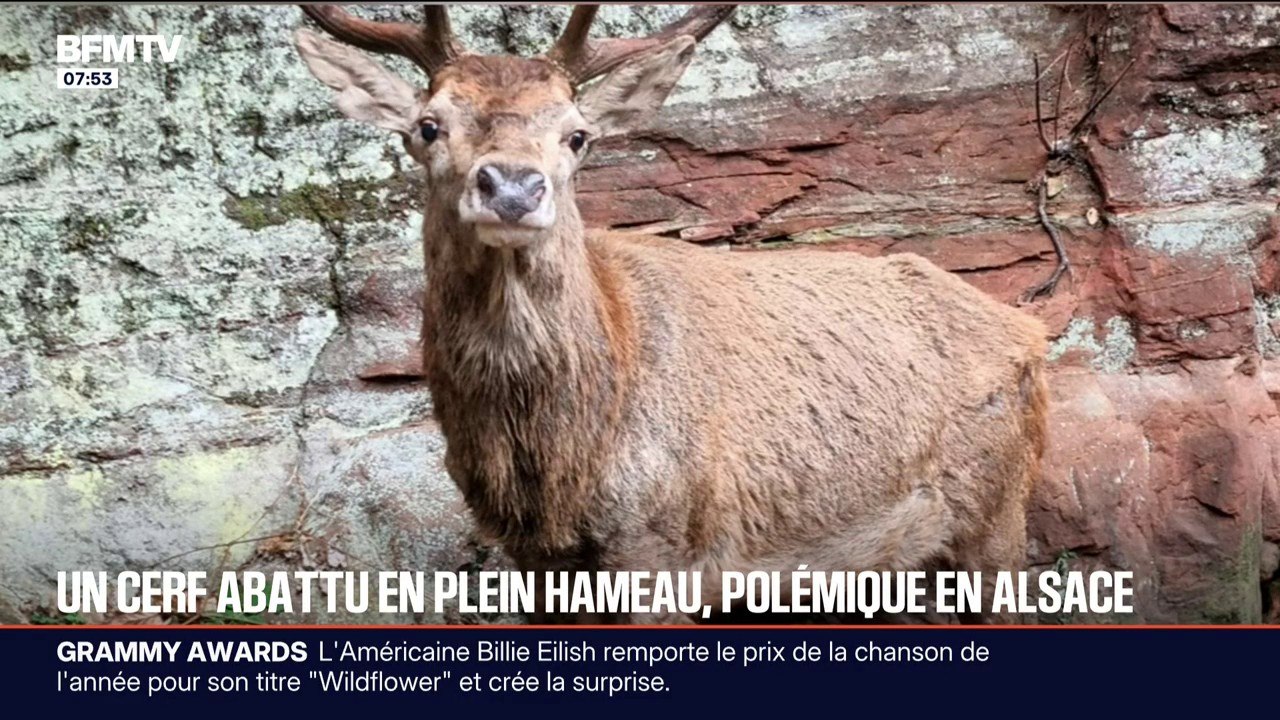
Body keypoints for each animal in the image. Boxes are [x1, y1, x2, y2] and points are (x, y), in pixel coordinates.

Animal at [291, 3, 1050, 624]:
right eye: (428, 126)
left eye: (578, 135)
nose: (512, 186)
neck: (558, 465)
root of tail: (1032, 333)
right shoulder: (533, 562)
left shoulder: (661, 545)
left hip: (996, 512)